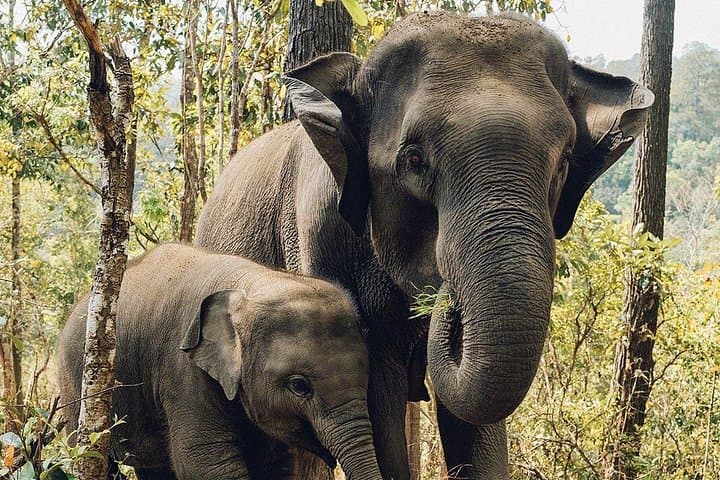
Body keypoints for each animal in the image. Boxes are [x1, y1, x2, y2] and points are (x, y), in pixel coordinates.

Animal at [57, 243, 382, 480]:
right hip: (76, 389)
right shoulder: (183, 371)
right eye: (300, 386)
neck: (250, 283)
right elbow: (203, 459)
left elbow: (275, 464)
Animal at [195, 11, 653, 480]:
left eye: (563, 163)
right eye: (414, 160)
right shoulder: (319, 238)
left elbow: (475, 421)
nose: (446, 298)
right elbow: (379, 397)